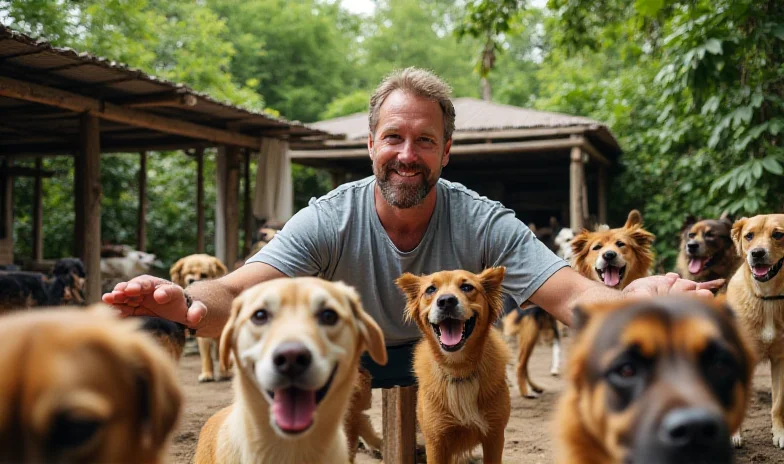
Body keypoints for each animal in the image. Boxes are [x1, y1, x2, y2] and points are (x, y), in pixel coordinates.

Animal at [396, 266, 512, 462]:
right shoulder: (436, 442)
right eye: (430, 290)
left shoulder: (494, 436)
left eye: (467, 287)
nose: (446, 301)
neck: (459, 370)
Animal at [724, 215, 784, 450]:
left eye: (778, 234)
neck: (767, 299)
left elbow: (778, 404)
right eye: (749, 236)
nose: (757, 253)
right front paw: (733, 435)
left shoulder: (780, 359)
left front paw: (780, 434)